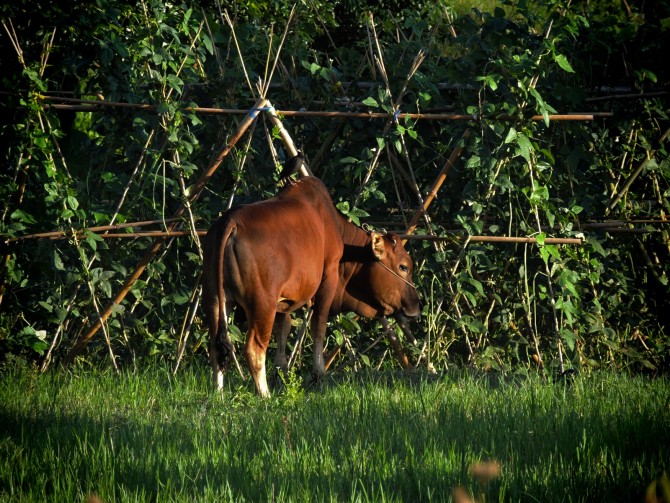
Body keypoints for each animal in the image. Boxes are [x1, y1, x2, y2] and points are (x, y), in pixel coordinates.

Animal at [202, 177, 420, 398]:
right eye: (403, 267)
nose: (416, 306)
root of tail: (230, 222)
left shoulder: (283, 301)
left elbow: (283, 330)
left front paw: (281, 375)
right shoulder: (328, 280)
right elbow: (319, 327)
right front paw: (318, 375)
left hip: (215, 299)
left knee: (216, 347)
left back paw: (219, 394)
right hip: (262, 303)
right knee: (254, 349)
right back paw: (265, 395)